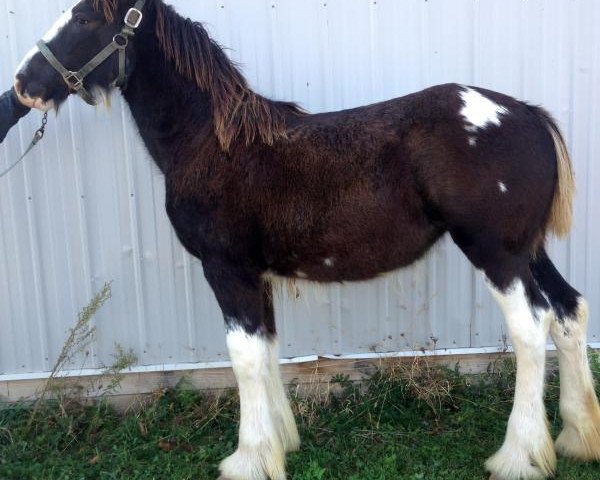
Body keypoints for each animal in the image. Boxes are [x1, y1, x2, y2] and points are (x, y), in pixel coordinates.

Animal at [12, 0, 600, 480]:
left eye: (84, 19)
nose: (22, 83)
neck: (213, 144)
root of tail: (526, 114)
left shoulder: (226, 269)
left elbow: (244, 357)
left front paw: (248, 459)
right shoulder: (257, 275)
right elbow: (267, 348)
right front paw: (280, 443)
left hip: (496, 253)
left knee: (531, 327)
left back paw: (519, 456)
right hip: (528, 250)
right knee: (568, 312)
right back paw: (577, 436)